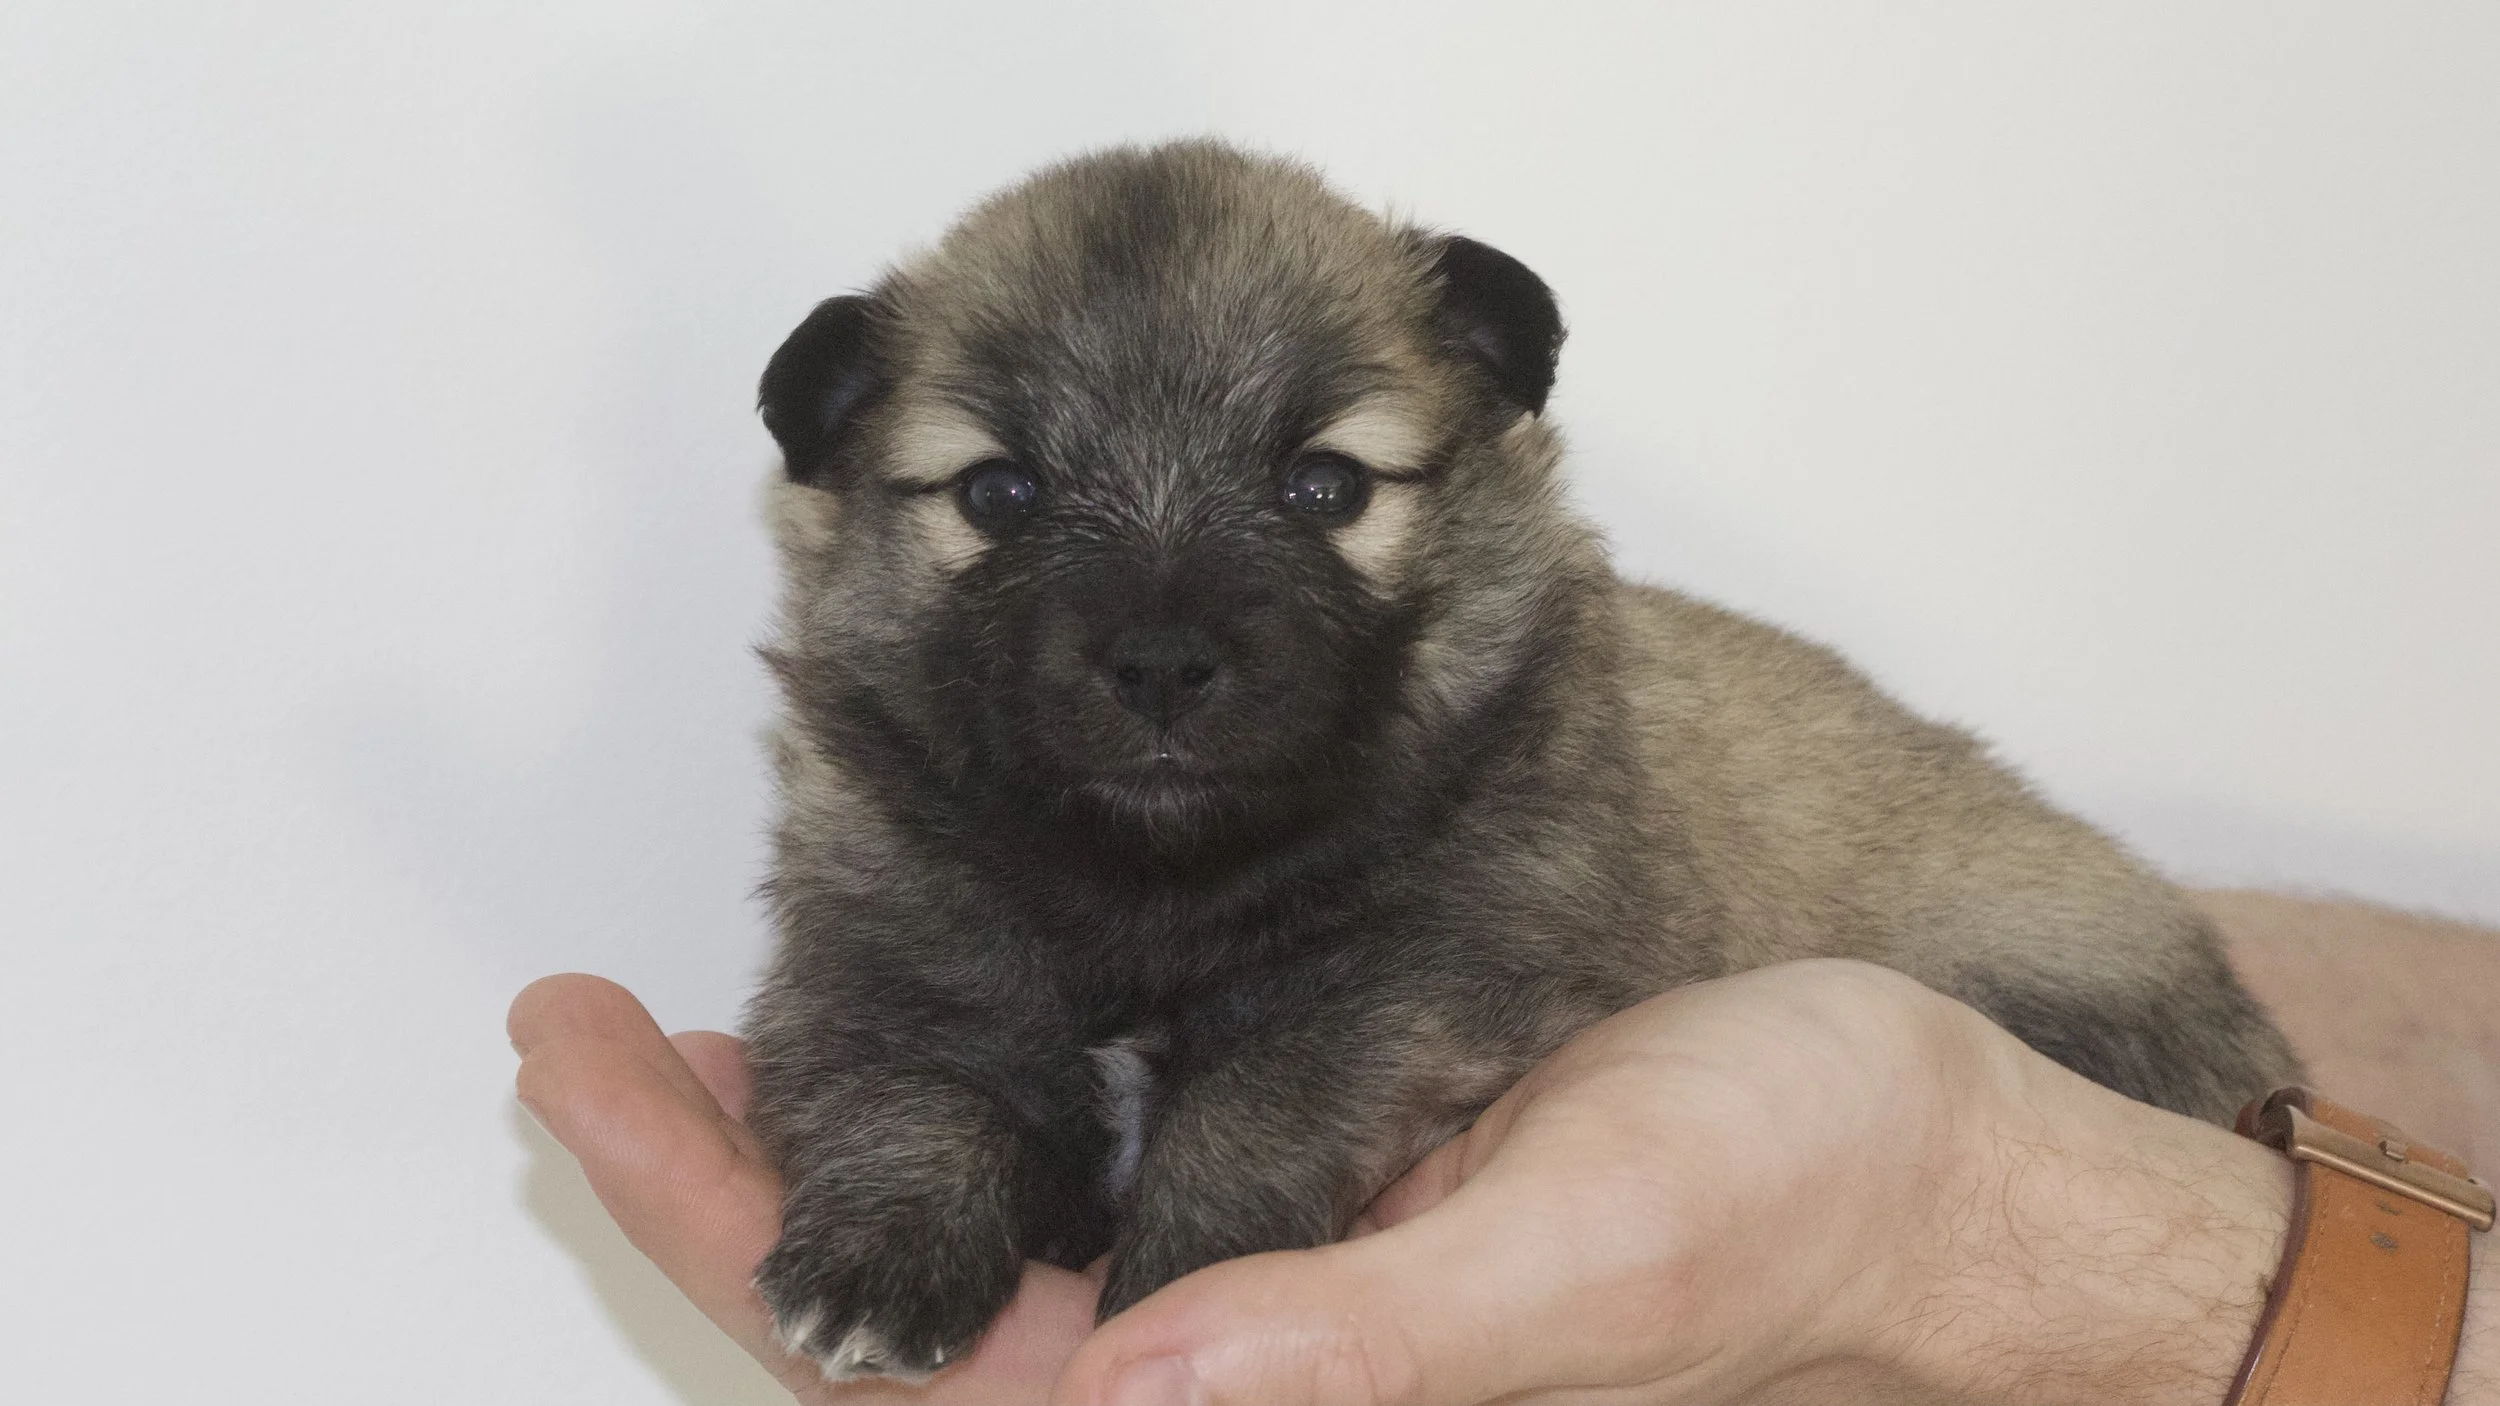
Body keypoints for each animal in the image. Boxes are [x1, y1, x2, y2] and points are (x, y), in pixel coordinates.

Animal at [739, 140, 2300, 1380]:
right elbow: (913, 1085)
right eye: (1000, 493)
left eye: (1324, 485)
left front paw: (1194, 1260)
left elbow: (1257, 1102)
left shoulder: (1421, 986)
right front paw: (878, 1261)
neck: (1160, 873)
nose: (1164, 663)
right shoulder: (877, 956)